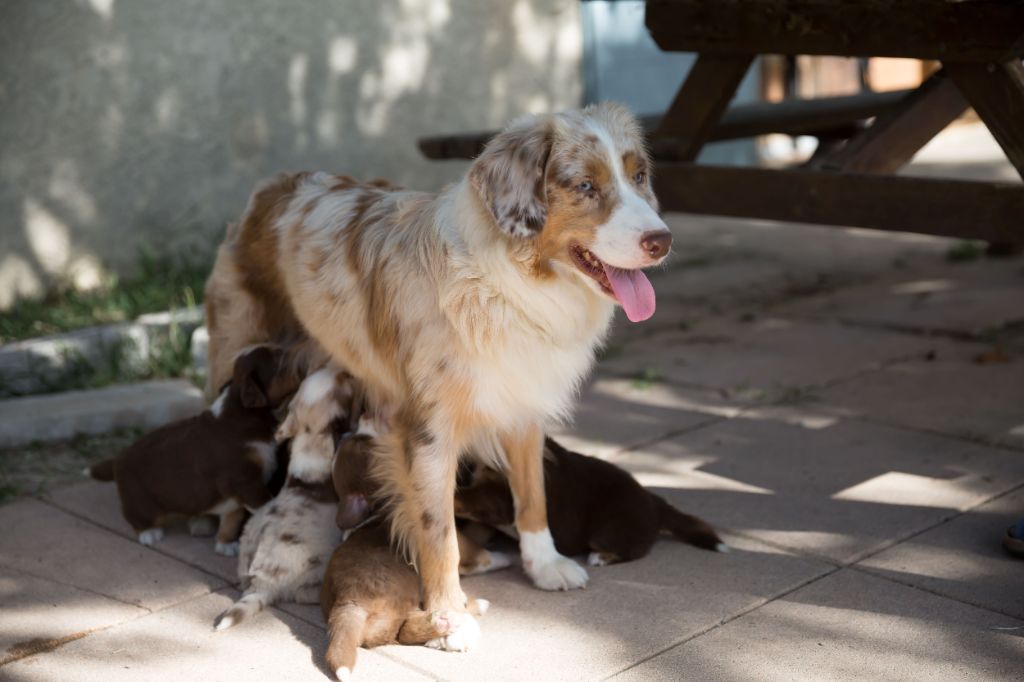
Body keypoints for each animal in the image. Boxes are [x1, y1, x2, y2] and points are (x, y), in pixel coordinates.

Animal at [86, 346, 299, 552]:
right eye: (279, 361)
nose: (297, 354)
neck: (243, 412)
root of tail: (118, 458)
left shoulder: (237, 494)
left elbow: (232, 519)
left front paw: (226, 544)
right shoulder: (245, 481)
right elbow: (266, 503)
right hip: (139, 500)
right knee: (135, 517)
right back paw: (149, 533)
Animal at [214, 364, 354, 630]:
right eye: (342, 382)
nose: (345, 369)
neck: (312, 440)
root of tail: (262, 583)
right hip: (317, 564)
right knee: (301, 594)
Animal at [456, 438, 729, 565]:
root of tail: (656, 503)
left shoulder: (500, 497)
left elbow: (468, 498)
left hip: (607, 530)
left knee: (634, 551)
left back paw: (602, 557)